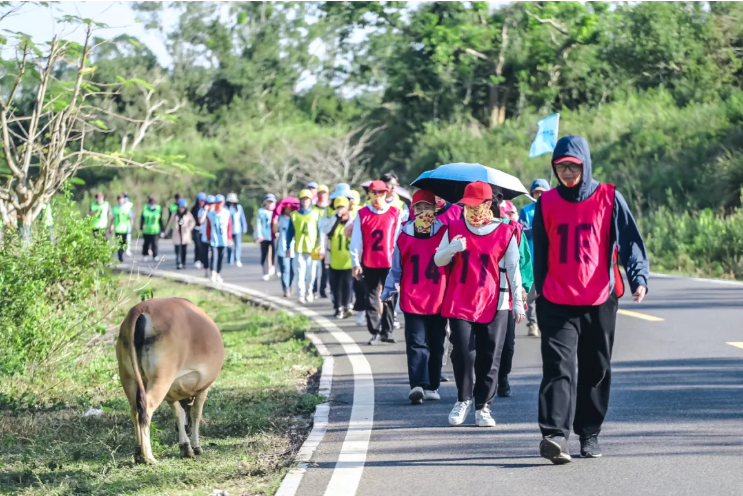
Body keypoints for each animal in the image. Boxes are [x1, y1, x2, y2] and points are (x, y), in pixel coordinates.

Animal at [116, 296, 225, 464]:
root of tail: (140, 310)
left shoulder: (172, 392)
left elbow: (178, 413)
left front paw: (185, 446)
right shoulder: (203, 388)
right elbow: (196, 413)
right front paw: (196, 446)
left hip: (128, 376)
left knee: (135, 409)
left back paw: (138, 453)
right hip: (162, 377)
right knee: (146, 409)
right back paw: (149, 457)